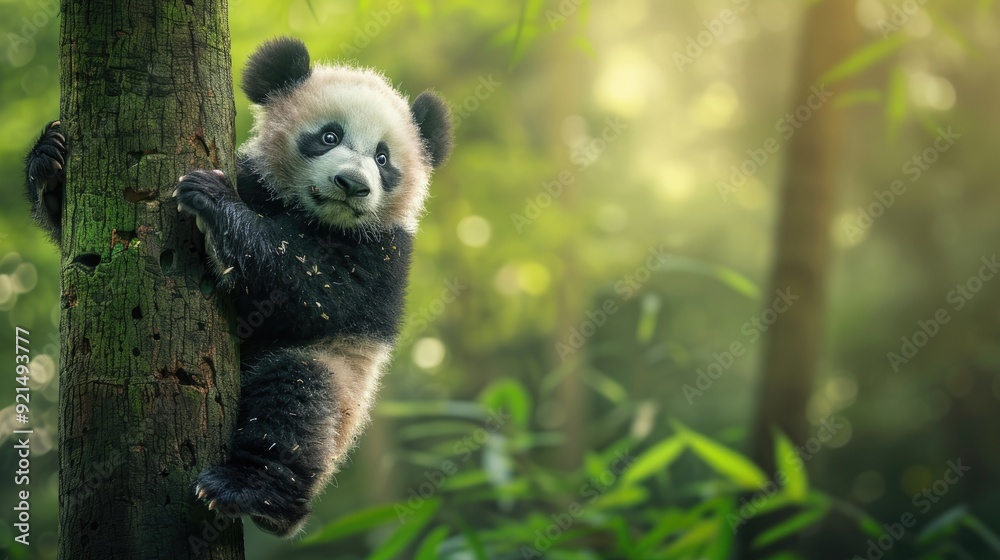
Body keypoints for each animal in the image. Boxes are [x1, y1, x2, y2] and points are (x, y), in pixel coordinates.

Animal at [24, 37, 452, 537]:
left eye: (383, 159)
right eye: (329, 136)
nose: (352, 184)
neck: (311, 214)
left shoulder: (380, 255)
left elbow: (308, 292)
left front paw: (212, 199)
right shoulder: (257, 180)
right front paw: (49, 160)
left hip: (341, 381)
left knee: (295, 404)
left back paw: (253, 494)